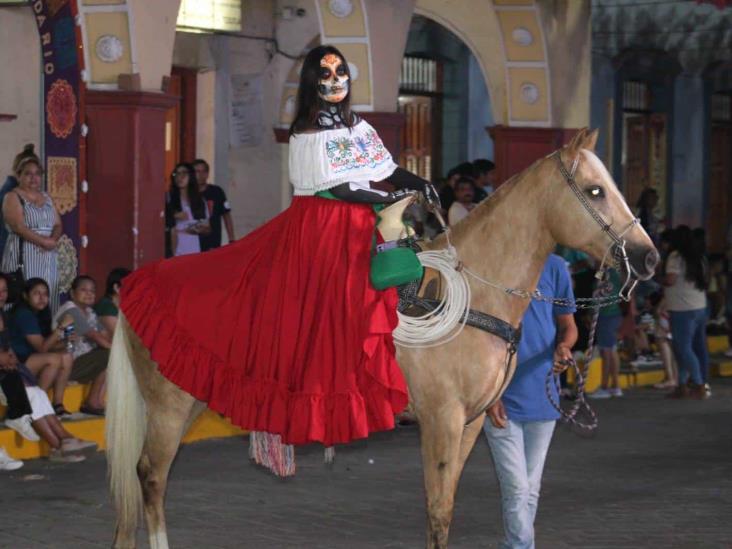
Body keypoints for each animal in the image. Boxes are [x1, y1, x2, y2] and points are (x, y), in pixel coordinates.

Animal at [107, 127, 656, 544]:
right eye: (594, 190)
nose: (647, 257)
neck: (472, 290)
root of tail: (134, 285)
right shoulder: (440, 419)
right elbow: (438, 510)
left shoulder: (473, 421)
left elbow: (446, 503)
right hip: (170, 406)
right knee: (150, 478)